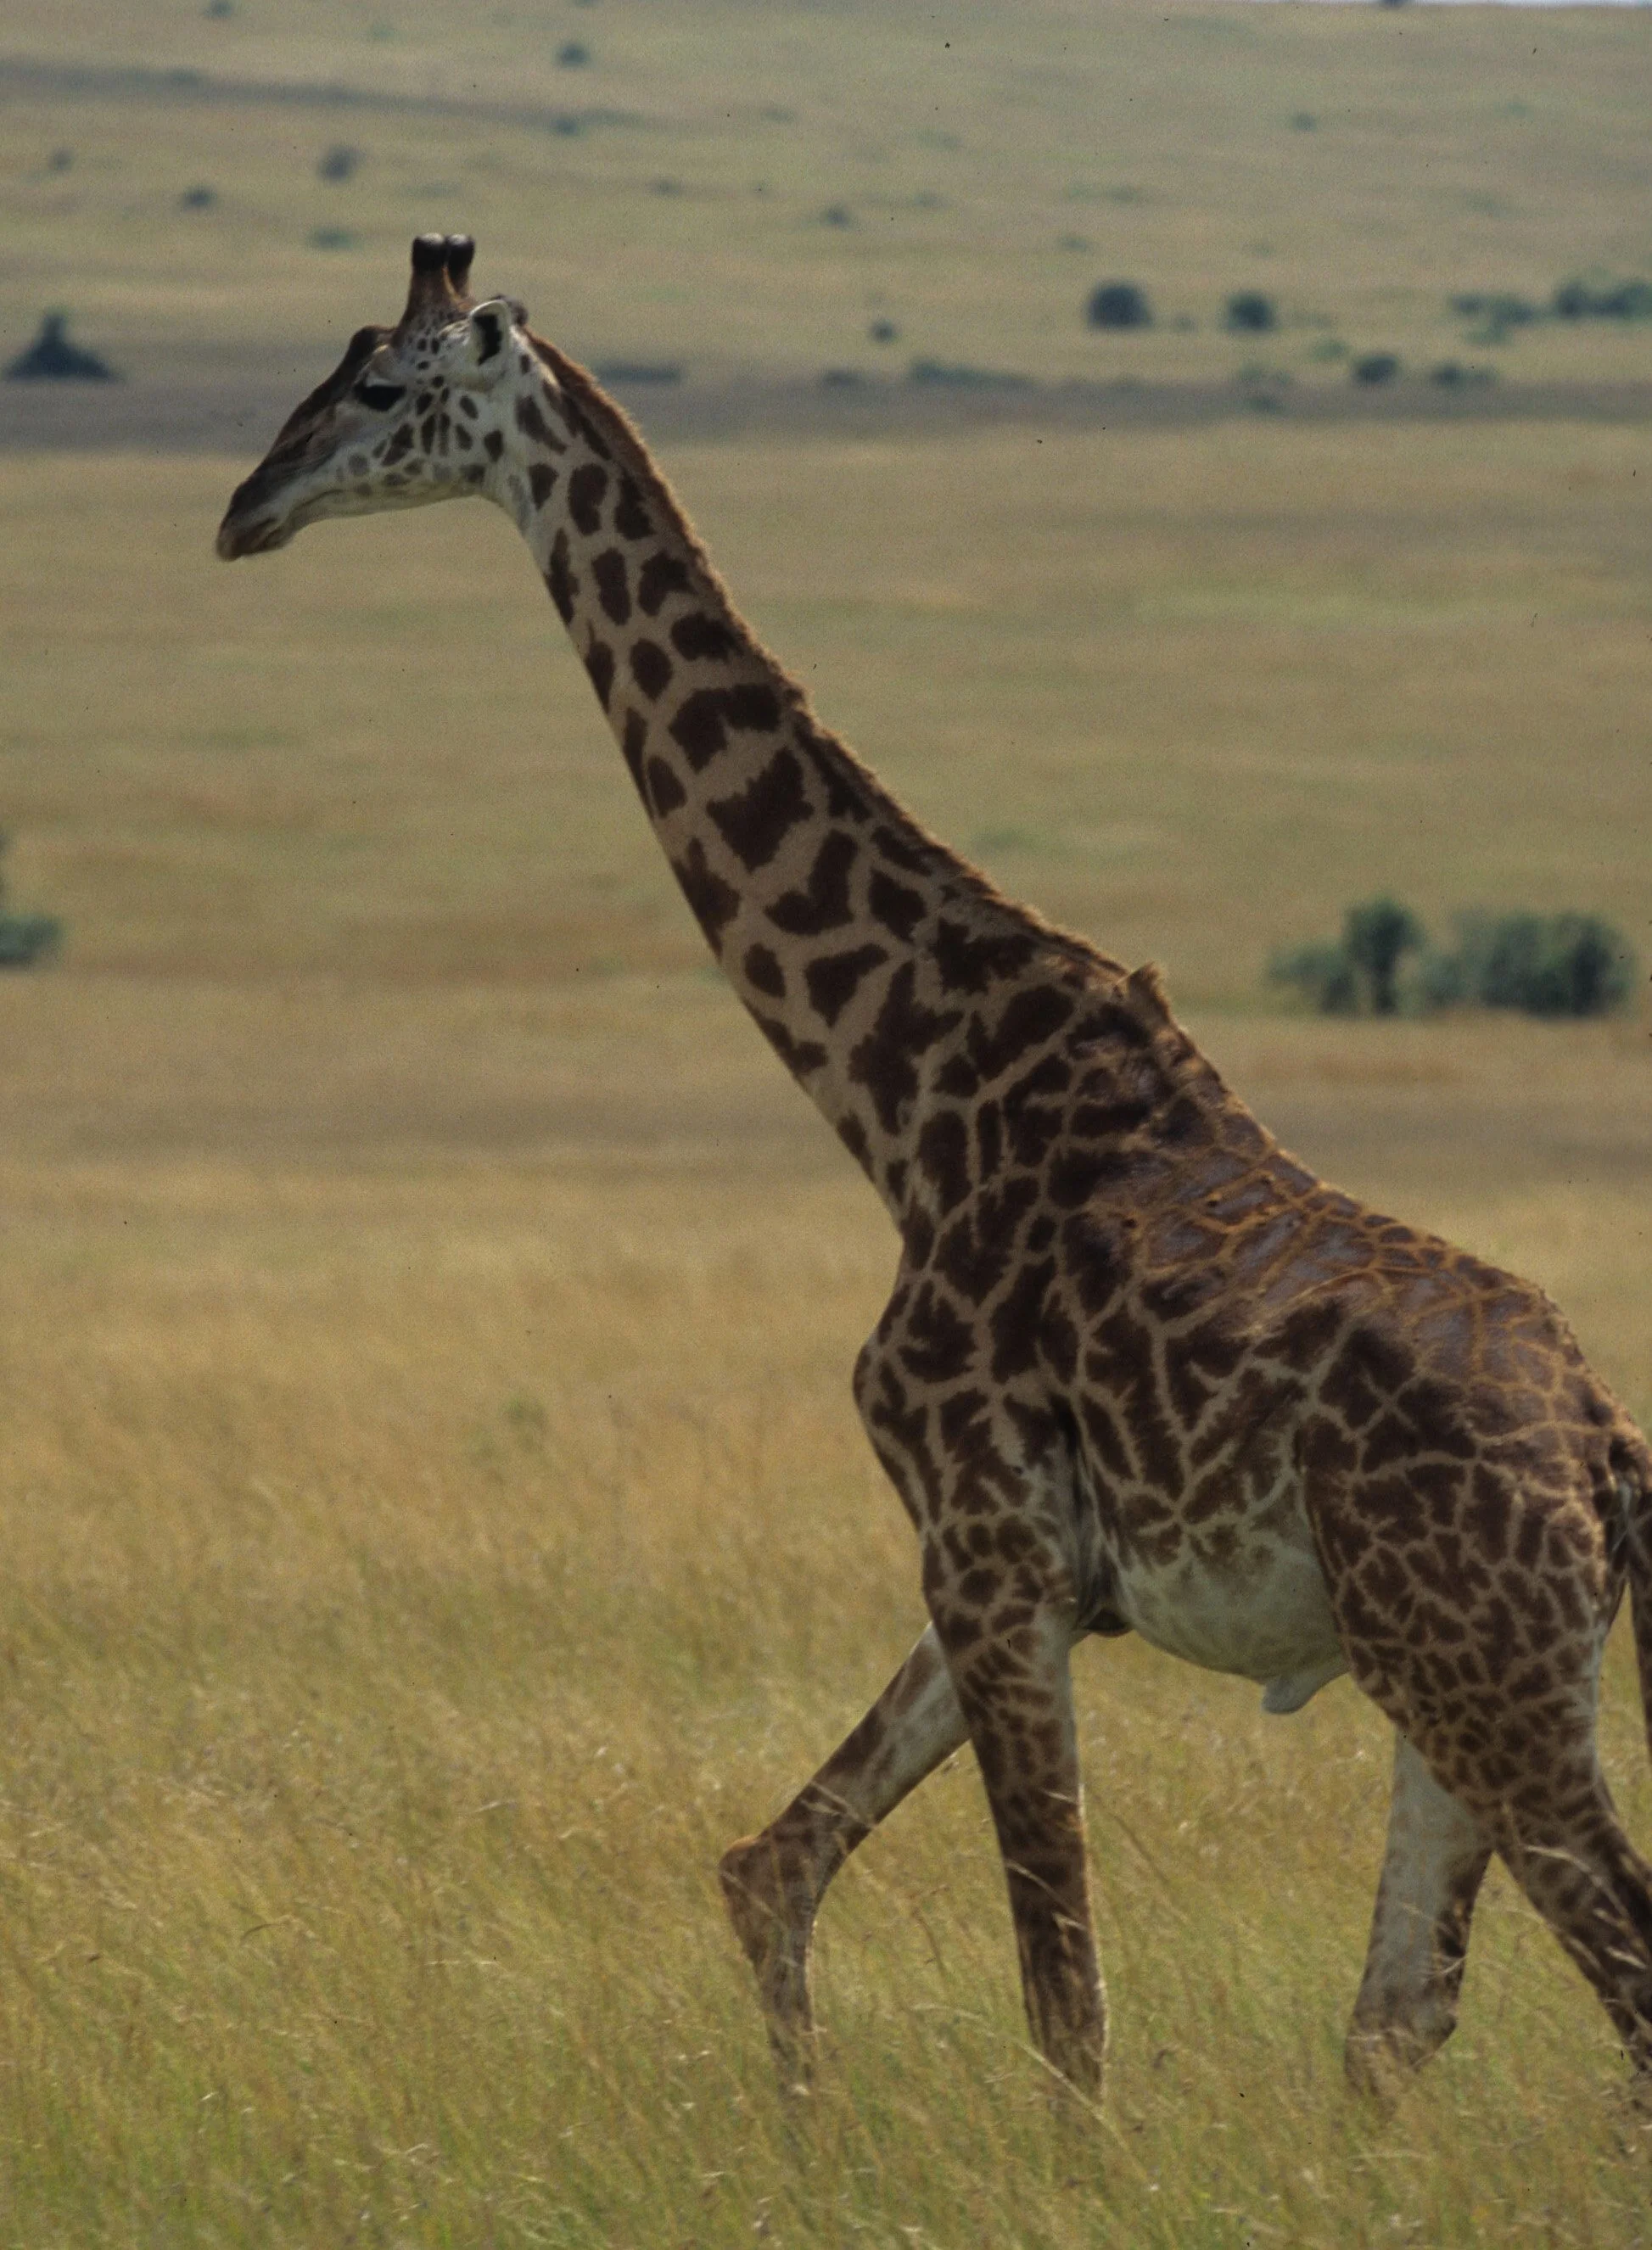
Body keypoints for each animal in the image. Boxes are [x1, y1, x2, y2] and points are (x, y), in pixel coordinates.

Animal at [218, 234, 1652, 2106]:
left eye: (383, 387)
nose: (242, 508)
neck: (903, 1099)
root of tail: (1605, 1456)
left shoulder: (987, 1550)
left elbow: (1064, 2000)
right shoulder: (994, 1569)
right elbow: (772, 1864)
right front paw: (798, 2127)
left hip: (1491, 1675)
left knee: (1611, 1981)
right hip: (1444, 1676)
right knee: (1394, 2016)